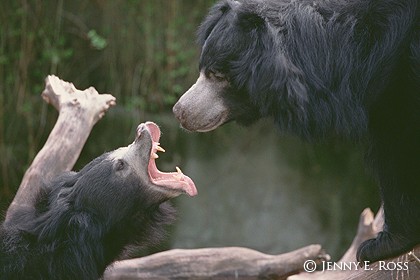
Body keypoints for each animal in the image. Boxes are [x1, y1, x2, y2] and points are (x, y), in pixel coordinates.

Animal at [172, 0, 420, 262]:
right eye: (203, 69)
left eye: (218, 75)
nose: (180, 111)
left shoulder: (400, 74)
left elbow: (398, 145)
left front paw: (378, 246)